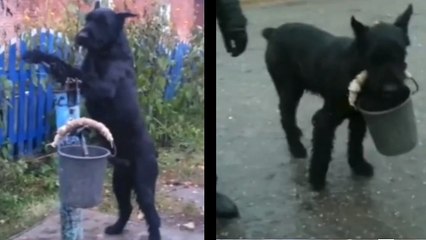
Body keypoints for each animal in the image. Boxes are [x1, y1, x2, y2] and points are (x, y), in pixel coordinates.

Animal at [24, 2, 162, 240]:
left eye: (103, 22)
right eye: (88, 18)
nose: (81, 36)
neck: (105, 52)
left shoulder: (102, 86)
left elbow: (75, 71)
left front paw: (45, 58)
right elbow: (68, 70)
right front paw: (37, 55)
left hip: (143, 184)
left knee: (152, 215)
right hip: (120, 182)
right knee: (126, 207)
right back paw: (116, 229)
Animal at [262, 4, 412, 191]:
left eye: (401, 54)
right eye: (372, 58)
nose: (391, 90)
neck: (354, 70)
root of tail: (274, 32)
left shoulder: (358, 117)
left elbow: (355, 143)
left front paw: (358, 166)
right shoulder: (325, 120)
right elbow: (322, 152)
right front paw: (316, 180)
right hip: (290, 91)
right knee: (286, 116)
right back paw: (296, 148)